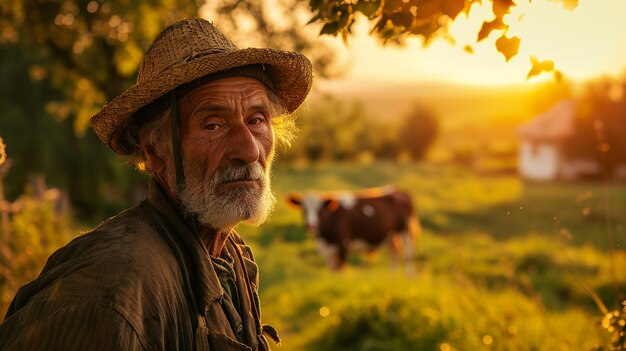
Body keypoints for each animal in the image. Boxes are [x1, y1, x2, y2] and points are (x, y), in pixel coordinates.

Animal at [288, 188, 420, 274]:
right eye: (303, 208)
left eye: (320, 209)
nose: (311, 225)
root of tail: (400, 191)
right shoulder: (327, 251)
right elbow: (333, 271)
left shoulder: (344, 245)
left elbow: (340, 270)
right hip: (392, 235)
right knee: (395, 252)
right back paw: (392, 277)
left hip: (406, 231)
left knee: (409, 255)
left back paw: (409, 277)